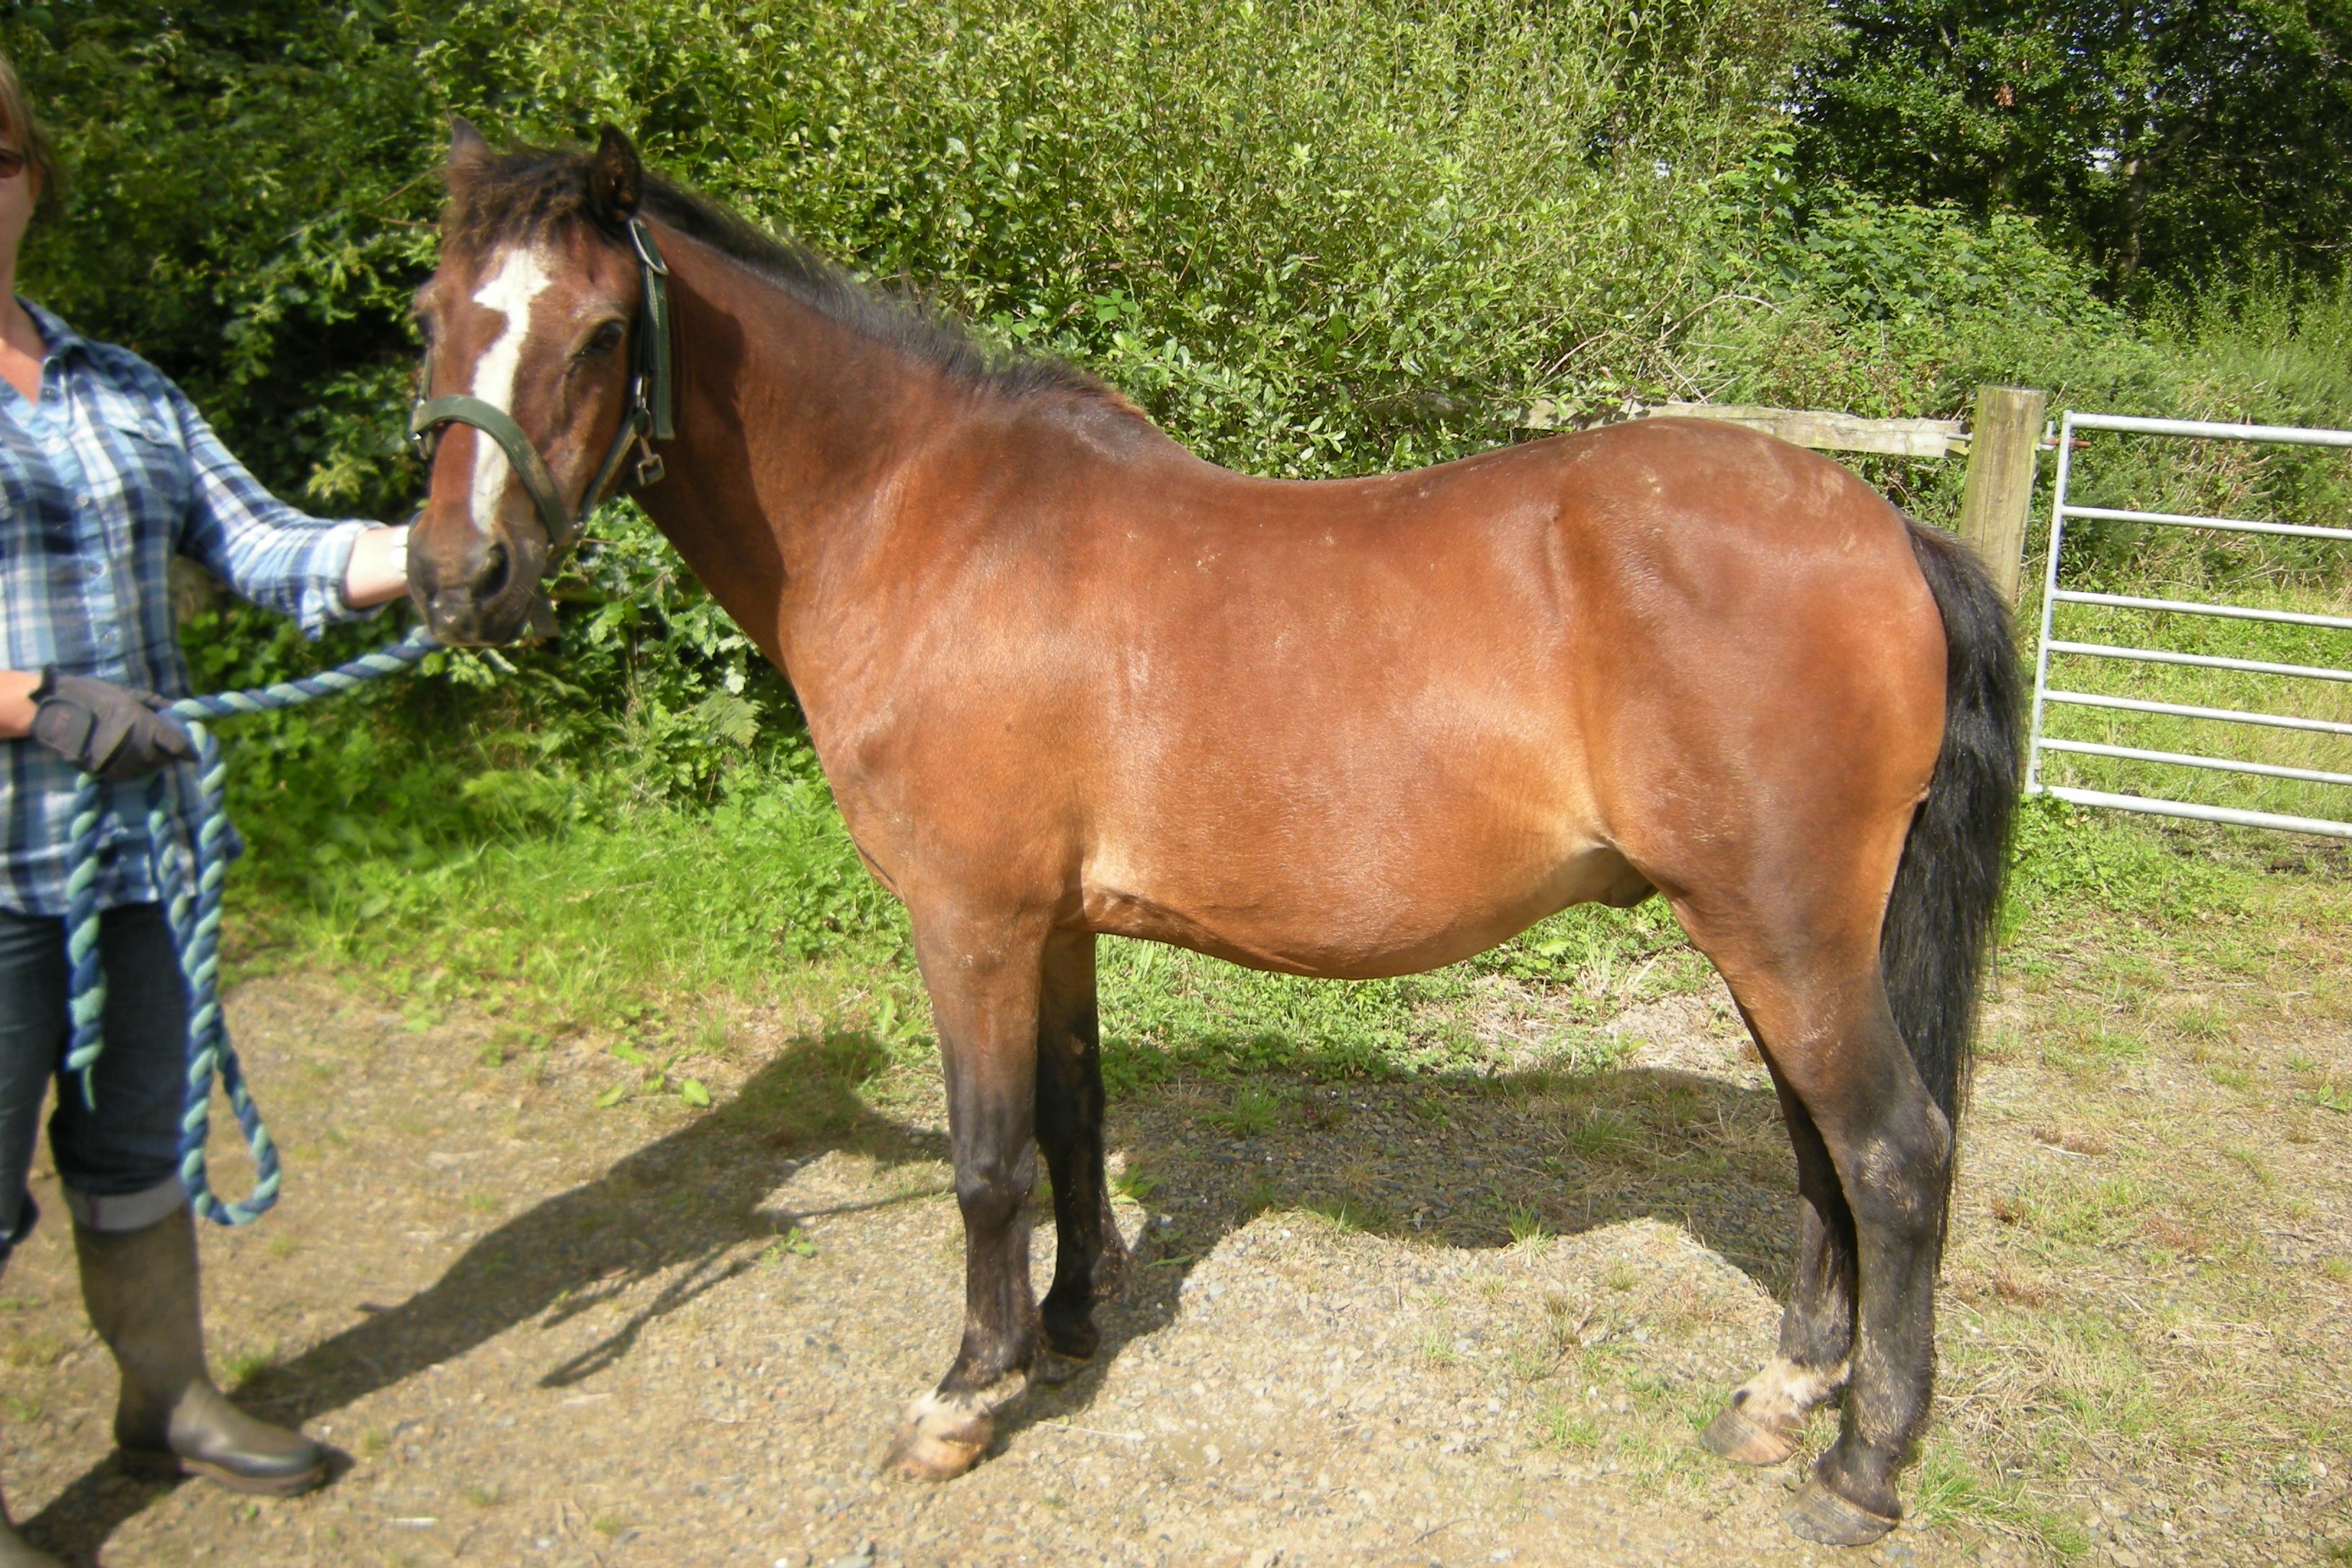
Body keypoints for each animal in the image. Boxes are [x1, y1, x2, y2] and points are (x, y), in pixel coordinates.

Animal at [402, 122, 2021, 1547]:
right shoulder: (1053, 925)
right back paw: (1783, 1393)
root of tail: (1883, 528)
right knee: (1820, 1152)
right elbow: (1069, 1118)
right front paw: (1066, 1322)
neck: (921, 518)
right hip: (1779, 937)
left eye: (601, 330)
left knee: (1890, 1154)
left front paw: (963, 1396)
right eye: (431, 316)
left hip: (1780, 929)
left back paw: (1859, 1466)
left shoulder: (967, 918)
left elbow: (983, 1157)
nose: (457, 580)